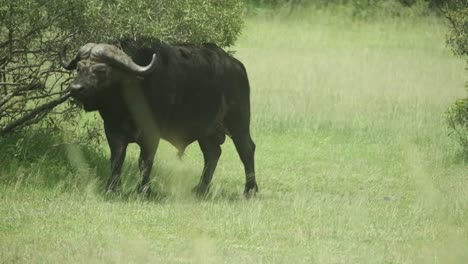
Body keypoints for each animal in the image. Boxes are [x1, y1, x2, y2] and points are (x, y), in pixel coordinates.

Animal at [59, 38, 258, 197]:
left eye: (101, 69)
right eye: (79, 68)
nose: (75, 88)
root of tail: (237, 66)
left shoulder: (151, 133)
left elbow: (145, 161)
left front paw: (143, 191)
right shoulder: (112, 131)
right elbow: (116, 159)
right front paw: (112, 189)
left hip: (238, 123)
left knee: (247, 150)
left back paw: (250, 190)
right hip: (206, 131)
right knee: (212, 153)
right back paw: (201, 188)